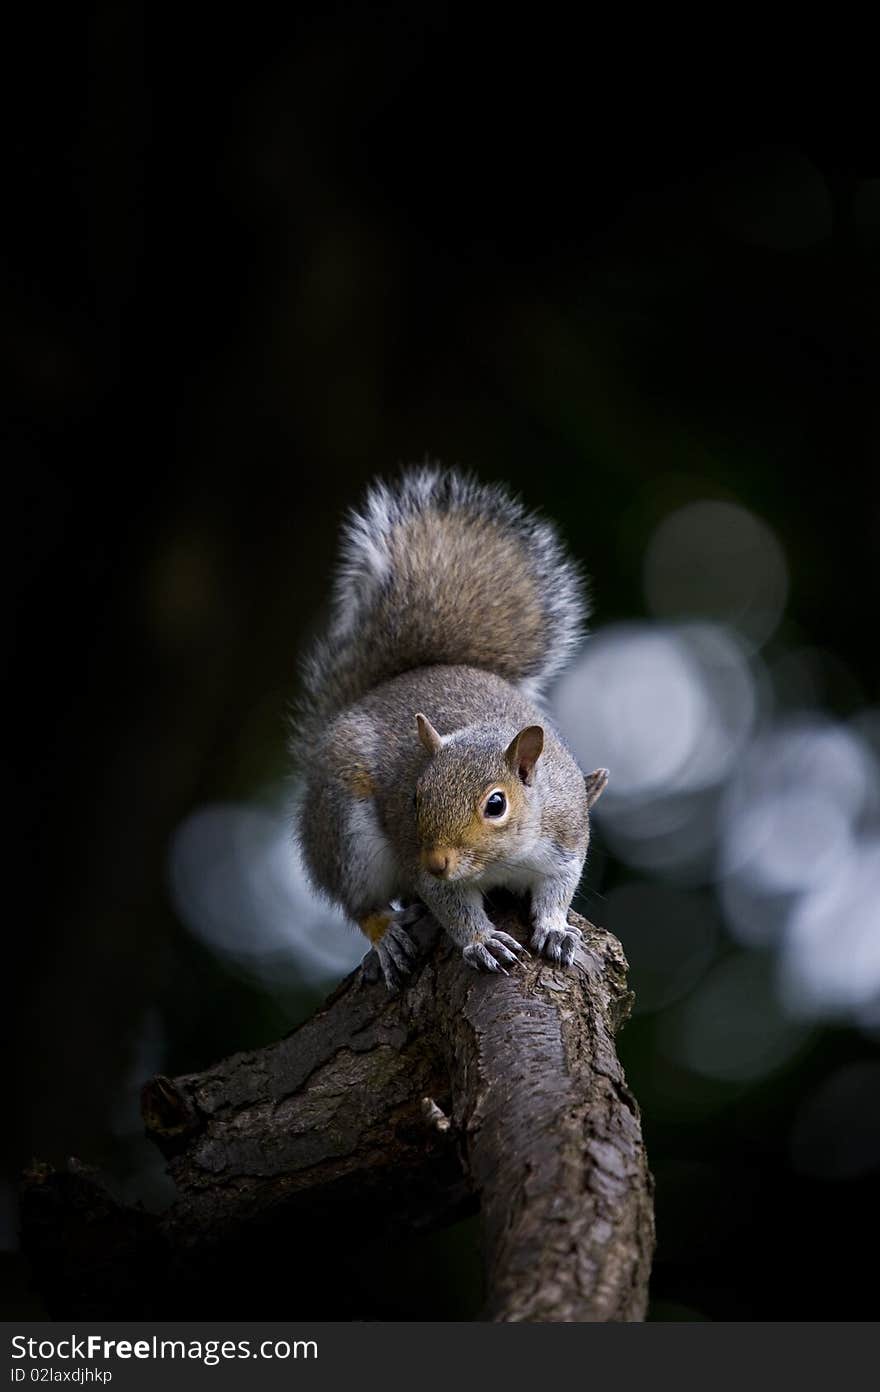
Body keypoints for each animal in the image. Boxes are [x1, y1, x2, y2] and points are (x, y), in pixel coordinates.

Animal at [292, 467, 607, 991]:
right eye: (415, 798)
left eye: (496, 805)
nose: (437, 862)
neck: (503, 858)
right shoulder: (421, 865)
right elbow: (451, 906)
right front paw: (480, 941)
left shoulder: (566, 837)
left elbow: (557, 889)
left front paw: (555, 928)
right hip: (346, 834)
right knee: (359, 901)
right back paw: (386, 935)